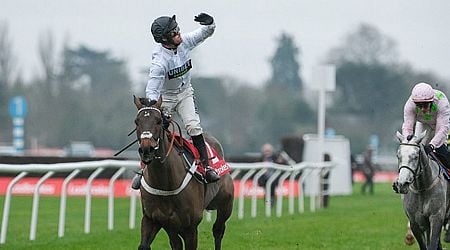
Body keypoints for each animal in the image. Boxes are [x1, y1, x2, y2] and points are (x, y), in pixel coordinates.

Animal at [133, 96, 232, 250]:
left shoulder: (191, 227)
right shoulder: (152, 219)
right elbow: (145, 245)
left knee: (218, 230)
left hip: (225, 204)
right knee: (177, 243)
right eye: (137, 122)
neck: (165, 183)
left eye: (158, 121)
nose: (146, 149)